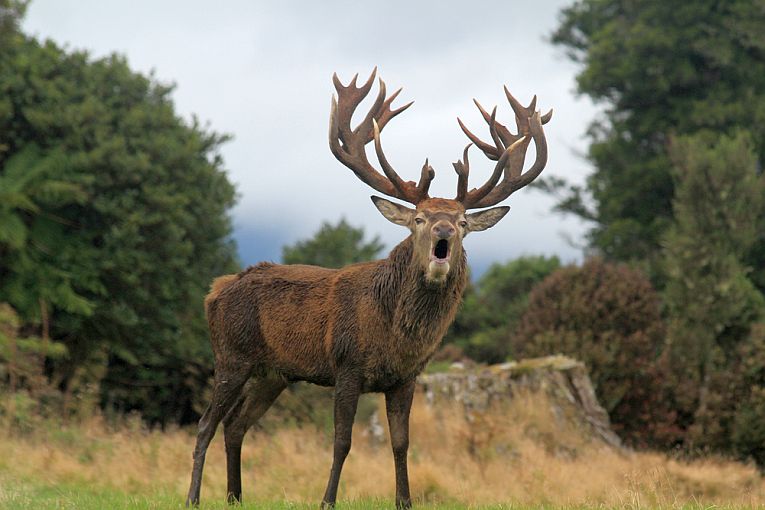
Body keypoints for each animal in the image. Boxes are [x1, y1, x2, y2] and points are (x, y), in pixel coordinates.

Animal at [186, 69, 551, 508]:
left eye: (463, 221)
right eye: (419, 219)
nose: (444, 231)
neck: (394, 337)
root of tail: (214, 291)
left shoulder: (406, 377)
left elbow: (401, 443)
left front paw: (404, 502)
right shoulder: (346, 365)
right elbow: (342, 441)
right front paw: (327, 500)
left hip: (272, 373)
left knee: (236, 425)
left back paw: (235, 497)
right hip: (231, 355)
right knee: (206, 423)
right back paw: (193, 498)